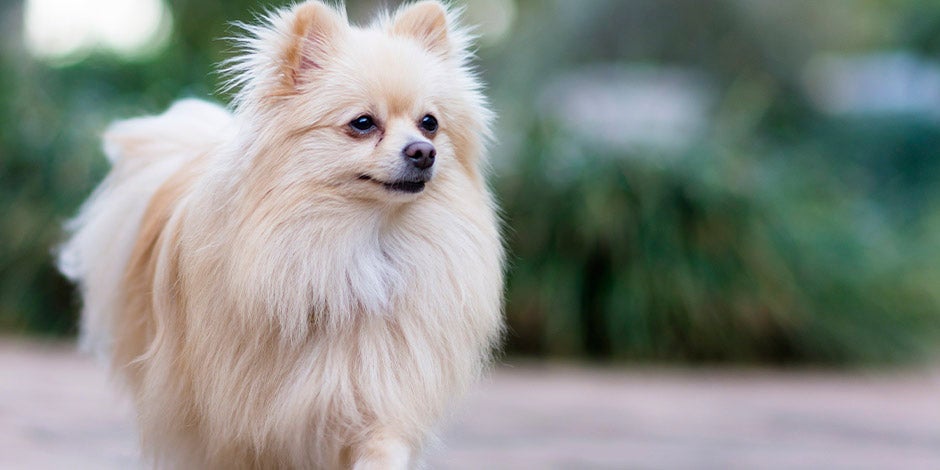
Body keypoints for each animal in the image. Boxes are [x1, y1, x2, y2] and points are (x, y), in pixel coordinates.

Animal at [56, 1, 504, 468]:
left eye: (430, 123)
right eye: (363, 123)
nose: (423, 151)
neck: (360, 245)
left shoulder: (378, 393)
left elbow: (382, 444)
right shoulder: (244, 426)